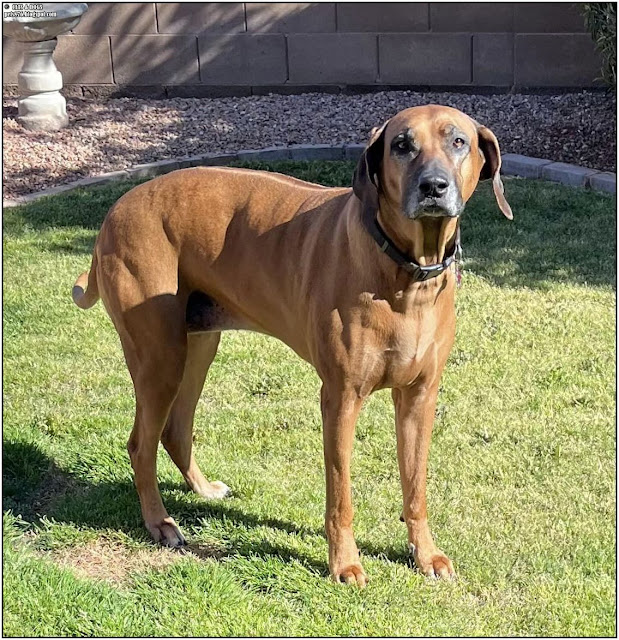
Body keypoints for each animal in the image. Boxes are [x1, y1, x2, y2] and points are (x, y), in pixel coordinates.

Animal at [72, 105, 512, 584]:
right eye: (401, 145)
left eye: (458, 142)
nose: (434, 186)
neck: (405, 272)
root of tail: (115, 210)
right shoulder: (340, 397)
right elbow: (340, 494)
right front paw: (345, 563)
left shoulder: (420, 395)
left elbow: (415, 486)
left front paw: (425, 553)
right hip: (159, 355)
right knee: (140, 443)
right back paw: (159, 522)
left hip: (199, 342)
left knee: (175, 428)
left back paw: (202, 489)